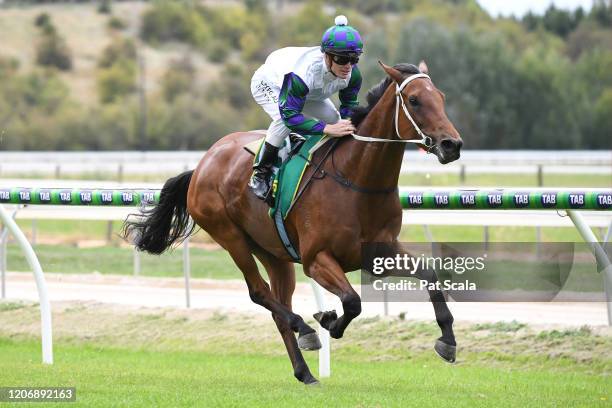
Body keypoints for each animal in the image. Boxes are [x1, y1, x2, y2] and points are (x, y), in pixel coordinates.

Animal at [122, 59, 462, 384]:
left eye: (442, 97)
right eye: (414, 100)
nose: (452, 145)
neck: (356, 180)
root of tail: (202, 164)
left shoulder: (381, 253)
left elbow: (430, 275)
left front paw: (447, 341)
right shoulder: (316, 259)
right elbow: (352, 301)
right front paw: (328, 322)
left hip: (274, 253)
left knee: (277, 304)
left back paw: (305, 372)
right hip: (231, 237)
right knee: (260, 293)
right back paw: (306, 330)